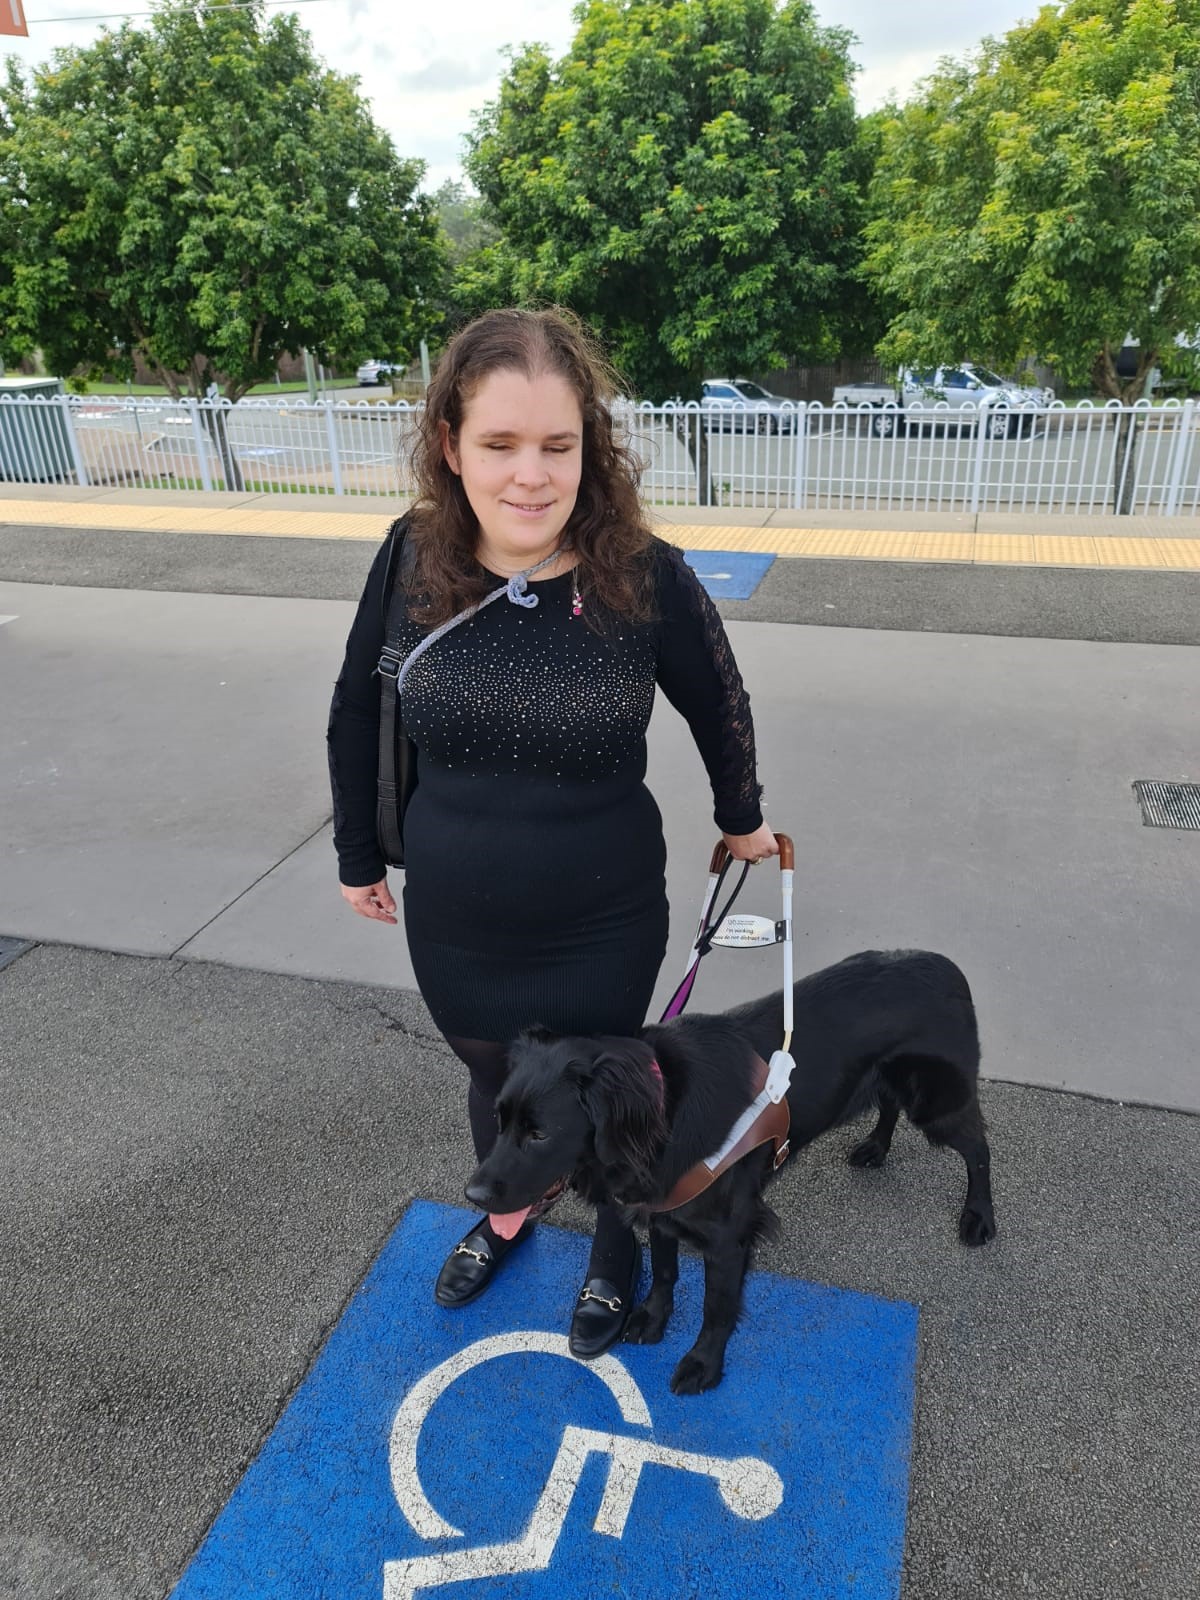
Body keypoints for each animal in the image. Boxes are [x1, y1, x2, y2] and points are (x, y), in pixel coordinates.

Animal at [464, 947, 998, 1388]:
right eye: (499, 1119)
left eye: (540, 1134)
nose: (473, 1195)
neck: (665, 1113)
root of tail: (948, 966)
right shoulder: (663, 1208)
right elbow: (664, 1271)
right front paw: (652, 1318)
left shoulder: (729, 1236)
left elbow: (716, 1307)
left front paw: (703, 1364)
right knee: (888, 1105)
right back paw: (875, 1148)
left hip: (938, 1105)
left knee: (978, 1148)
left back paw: (979, 1216)